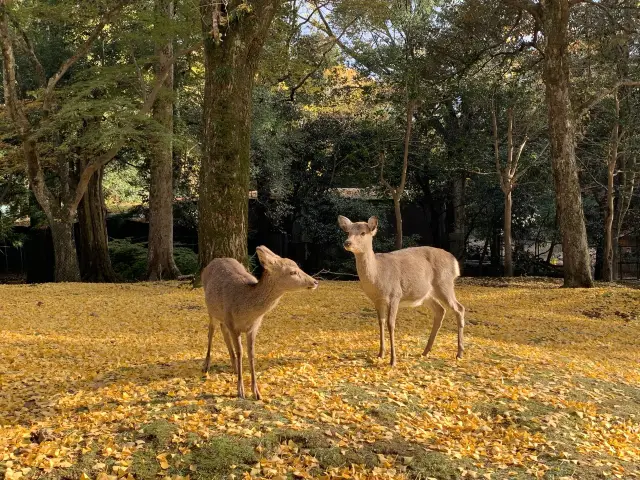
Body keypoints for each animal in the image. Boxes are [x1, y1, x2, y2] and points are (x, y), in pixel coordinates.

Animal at [201, 246, 318, 400]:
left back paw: (234, 367)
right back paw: (206, 366)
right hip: (211, 310)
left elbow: (251, 354)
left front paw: (256, 392)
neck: (247, 312)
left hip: (222, 317)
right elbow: (240, 352)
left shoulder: (254, 327)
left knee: (223, 331)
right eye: (293, 272)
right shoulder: (232, 323)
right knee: (210, 332)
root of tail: (213, 261)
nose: (315, 282)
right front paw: (240, 391)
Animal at [336, 216, 464, 366]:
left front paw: (393, 360)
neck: (378, 275)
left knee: (459, 308)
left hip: (444, 284)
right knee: (440, 310)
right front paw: (380, 354)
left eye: (363, 233)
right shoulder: (377, 300)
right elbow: (381, 323)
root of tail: (455, 263)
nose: (347, 243)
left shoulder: (395, 295)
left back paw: (459, 353)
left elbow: (391, 324)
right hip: (427, 295)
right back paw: (425, 351)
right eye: (348, 232)